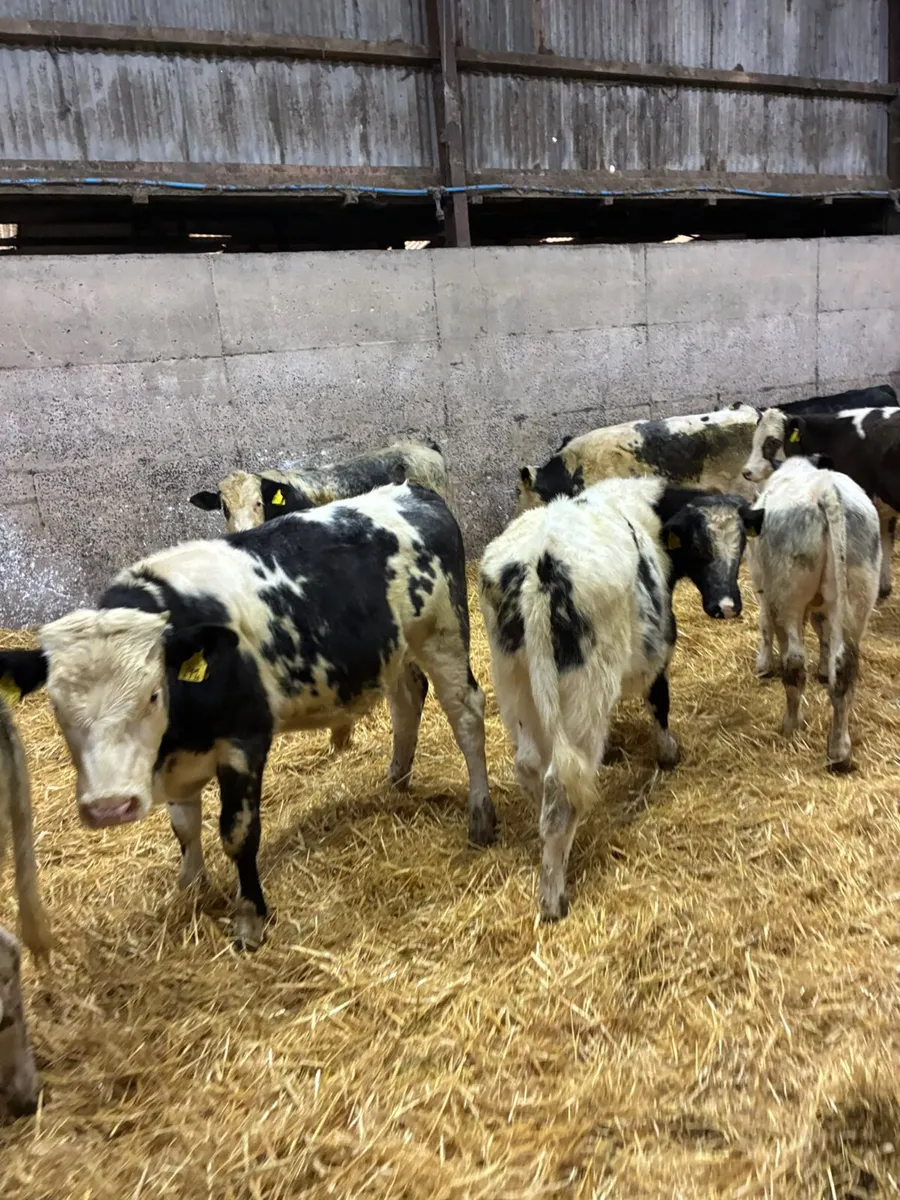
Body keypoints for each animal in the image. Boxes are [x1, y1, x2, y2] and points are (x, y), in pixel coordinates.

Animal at [0, 484, 495, 953]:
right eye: (57, 706)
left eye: (153, 694)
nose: (109, 807)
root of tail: (412, 491)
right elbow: (184, 826)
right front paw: (191, 888)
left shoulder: (244, 740)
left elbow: (238, 833)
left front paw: (250, 917)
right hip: (393, 649)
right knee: (408, 697)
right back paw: (396, 778)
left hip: (442, 633)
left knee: (466, 713)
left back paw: (480, 816)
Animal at [480, 477, 759, 921]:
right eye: (697, 546)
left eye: (742, 543)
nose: (727, 606)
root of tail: (539, 563)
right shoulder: (659, 649)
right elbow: (659, 701)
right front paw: (668, 753)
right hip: (585, 689)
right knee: (560, 786)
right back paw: (554, 896)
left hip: (515, 684)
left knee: (531, 768)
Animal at [743, 407, 900, 599]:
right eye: (755, 437)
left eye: (772, 442)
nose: (747, 472)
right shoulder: (883, 508)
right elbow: (886, 543)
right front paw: (883, 589)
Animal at [746, 456, 880, 772]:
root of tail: (826, 490)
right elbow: (823, 633)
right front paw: (822, 668)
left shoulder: (763, 588)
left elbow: (765, 626)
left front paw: (763, 665)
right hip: (856, 596)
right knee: (845, 670)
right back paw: (840, 751)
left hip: (788, 598)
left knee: (794, 663)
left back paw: (791, 724)